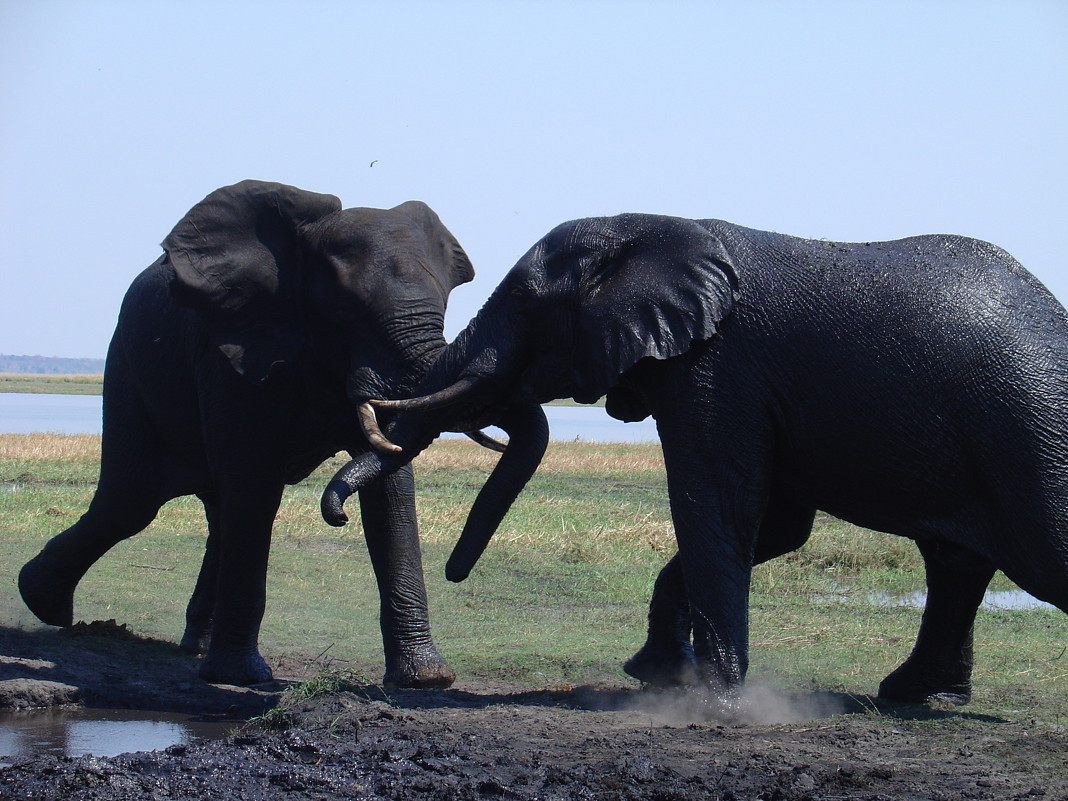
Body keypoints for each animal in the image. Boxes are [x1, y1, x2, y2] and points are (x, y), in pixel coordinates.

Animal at [15, 181, 476, 692]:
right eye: (343, 310)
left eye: (444, 307)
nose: (337, 517)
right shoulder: (232, 356)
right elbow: (255, 483)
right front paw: (241, 678)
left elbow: (389, 488)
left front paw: (426, 679)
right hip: (128, 365)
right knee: (130, 500)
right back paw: (42, 602)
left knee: (208, 507)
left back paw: (192, 645)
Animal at [320, 213, 1068, 709]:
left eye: (529, 307)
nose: (333, 512)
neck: (651, 226)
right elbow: (775, 526)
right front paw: (654, 674)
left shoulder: (719, 367)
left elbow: (719, 506)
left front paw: (712, 701)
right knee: (955, 565)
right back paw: (917, 698)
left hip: (1030, 426)